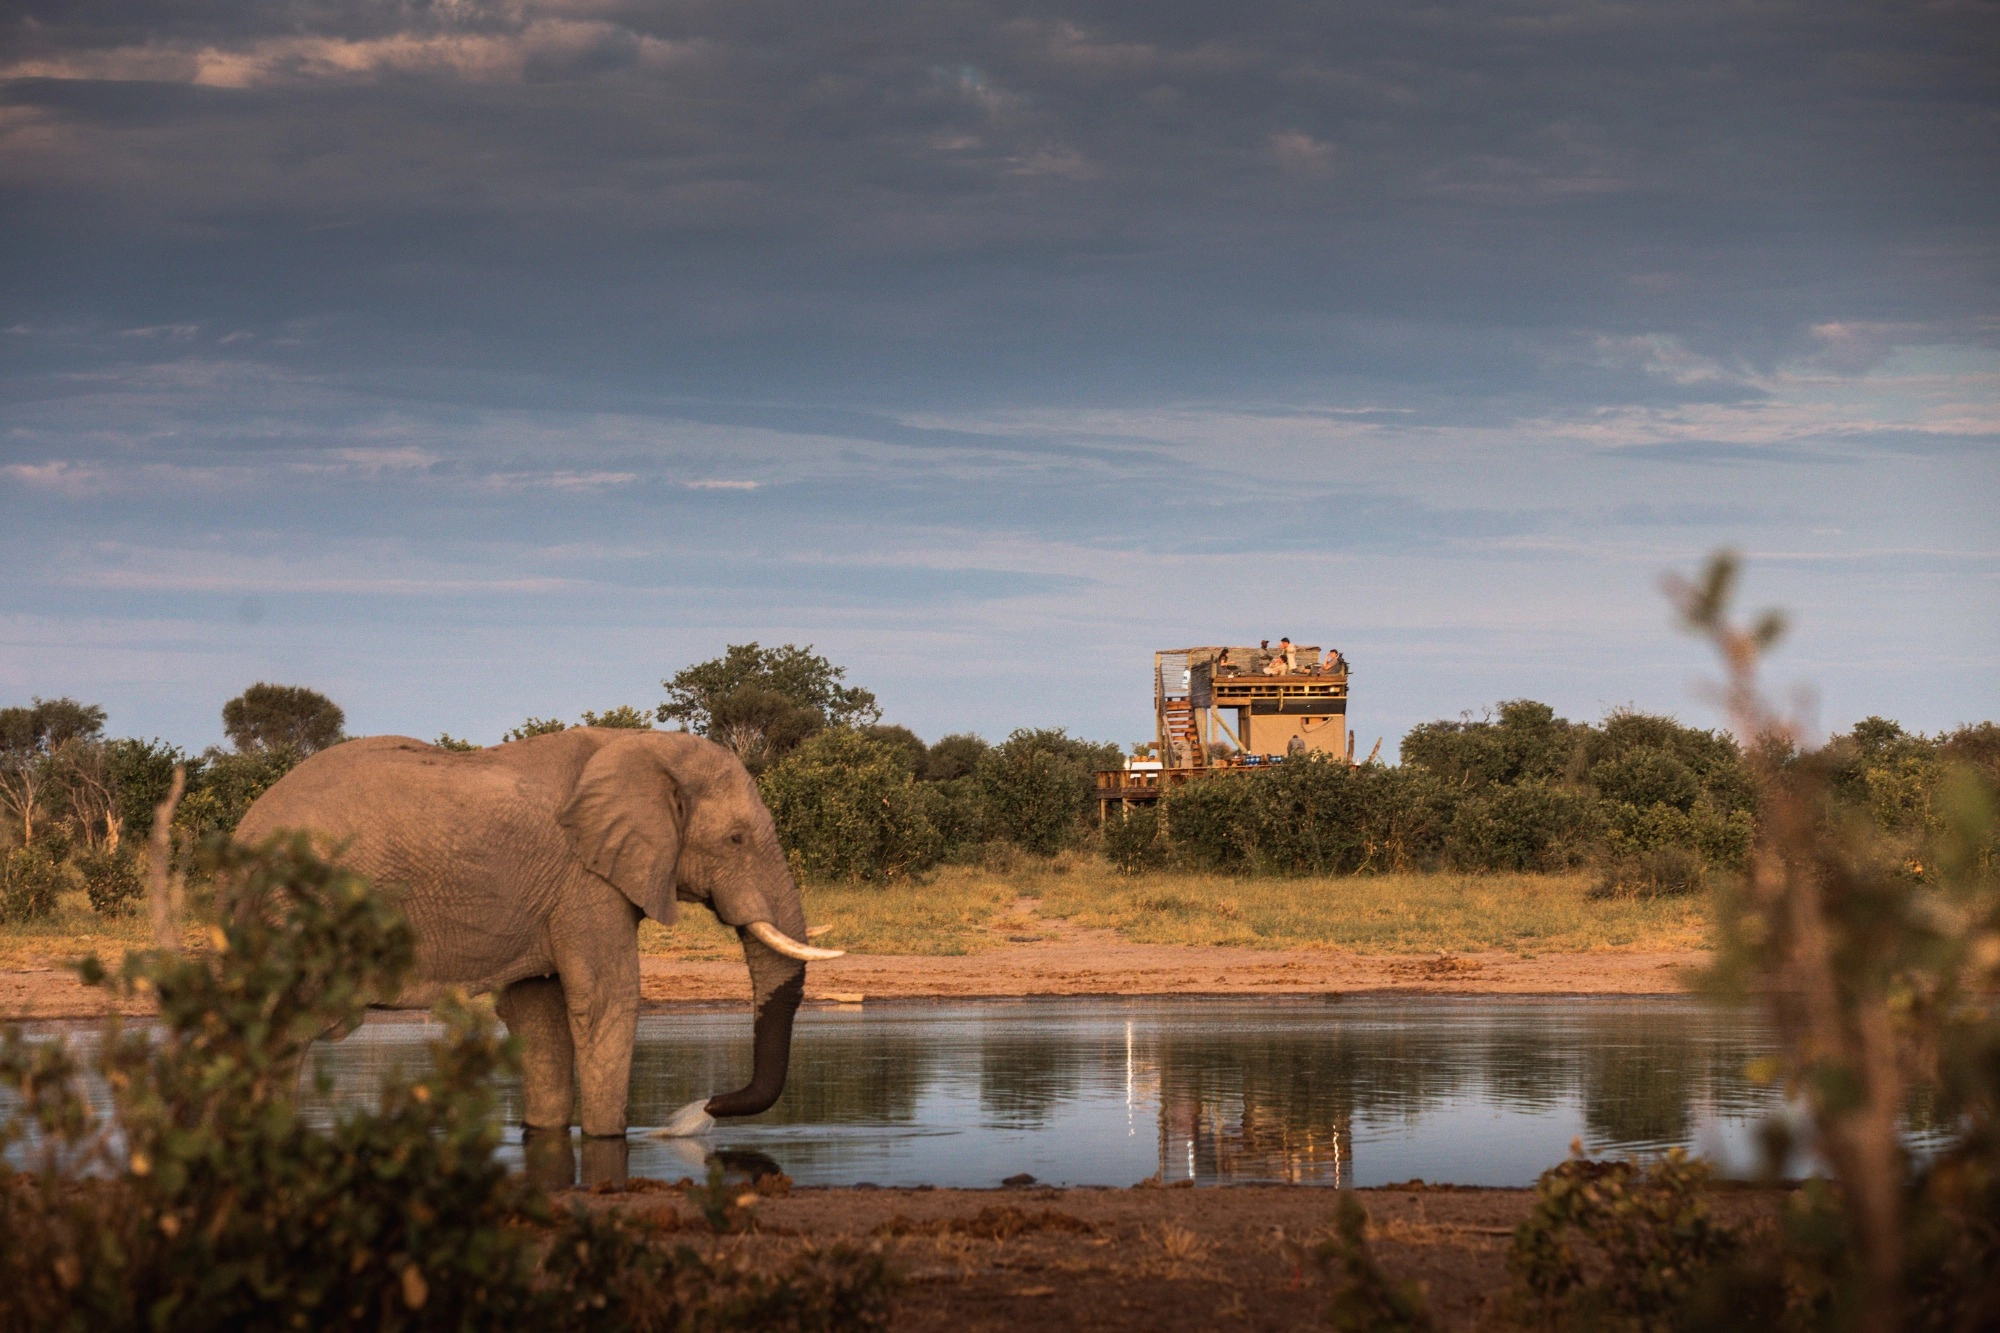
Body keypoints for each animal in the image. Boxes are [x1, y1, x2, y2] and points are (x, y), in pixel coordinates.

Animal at [235, 727, 840, 1146]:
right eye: (736, 839)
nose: (698, 1112)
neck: (640, 744)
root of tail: (244, 832)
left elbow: (539, 1017)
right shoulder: (584, 883)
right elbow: (607, 999)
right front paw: (608, 1139)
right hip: (299, 912)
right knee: (285, 1030)